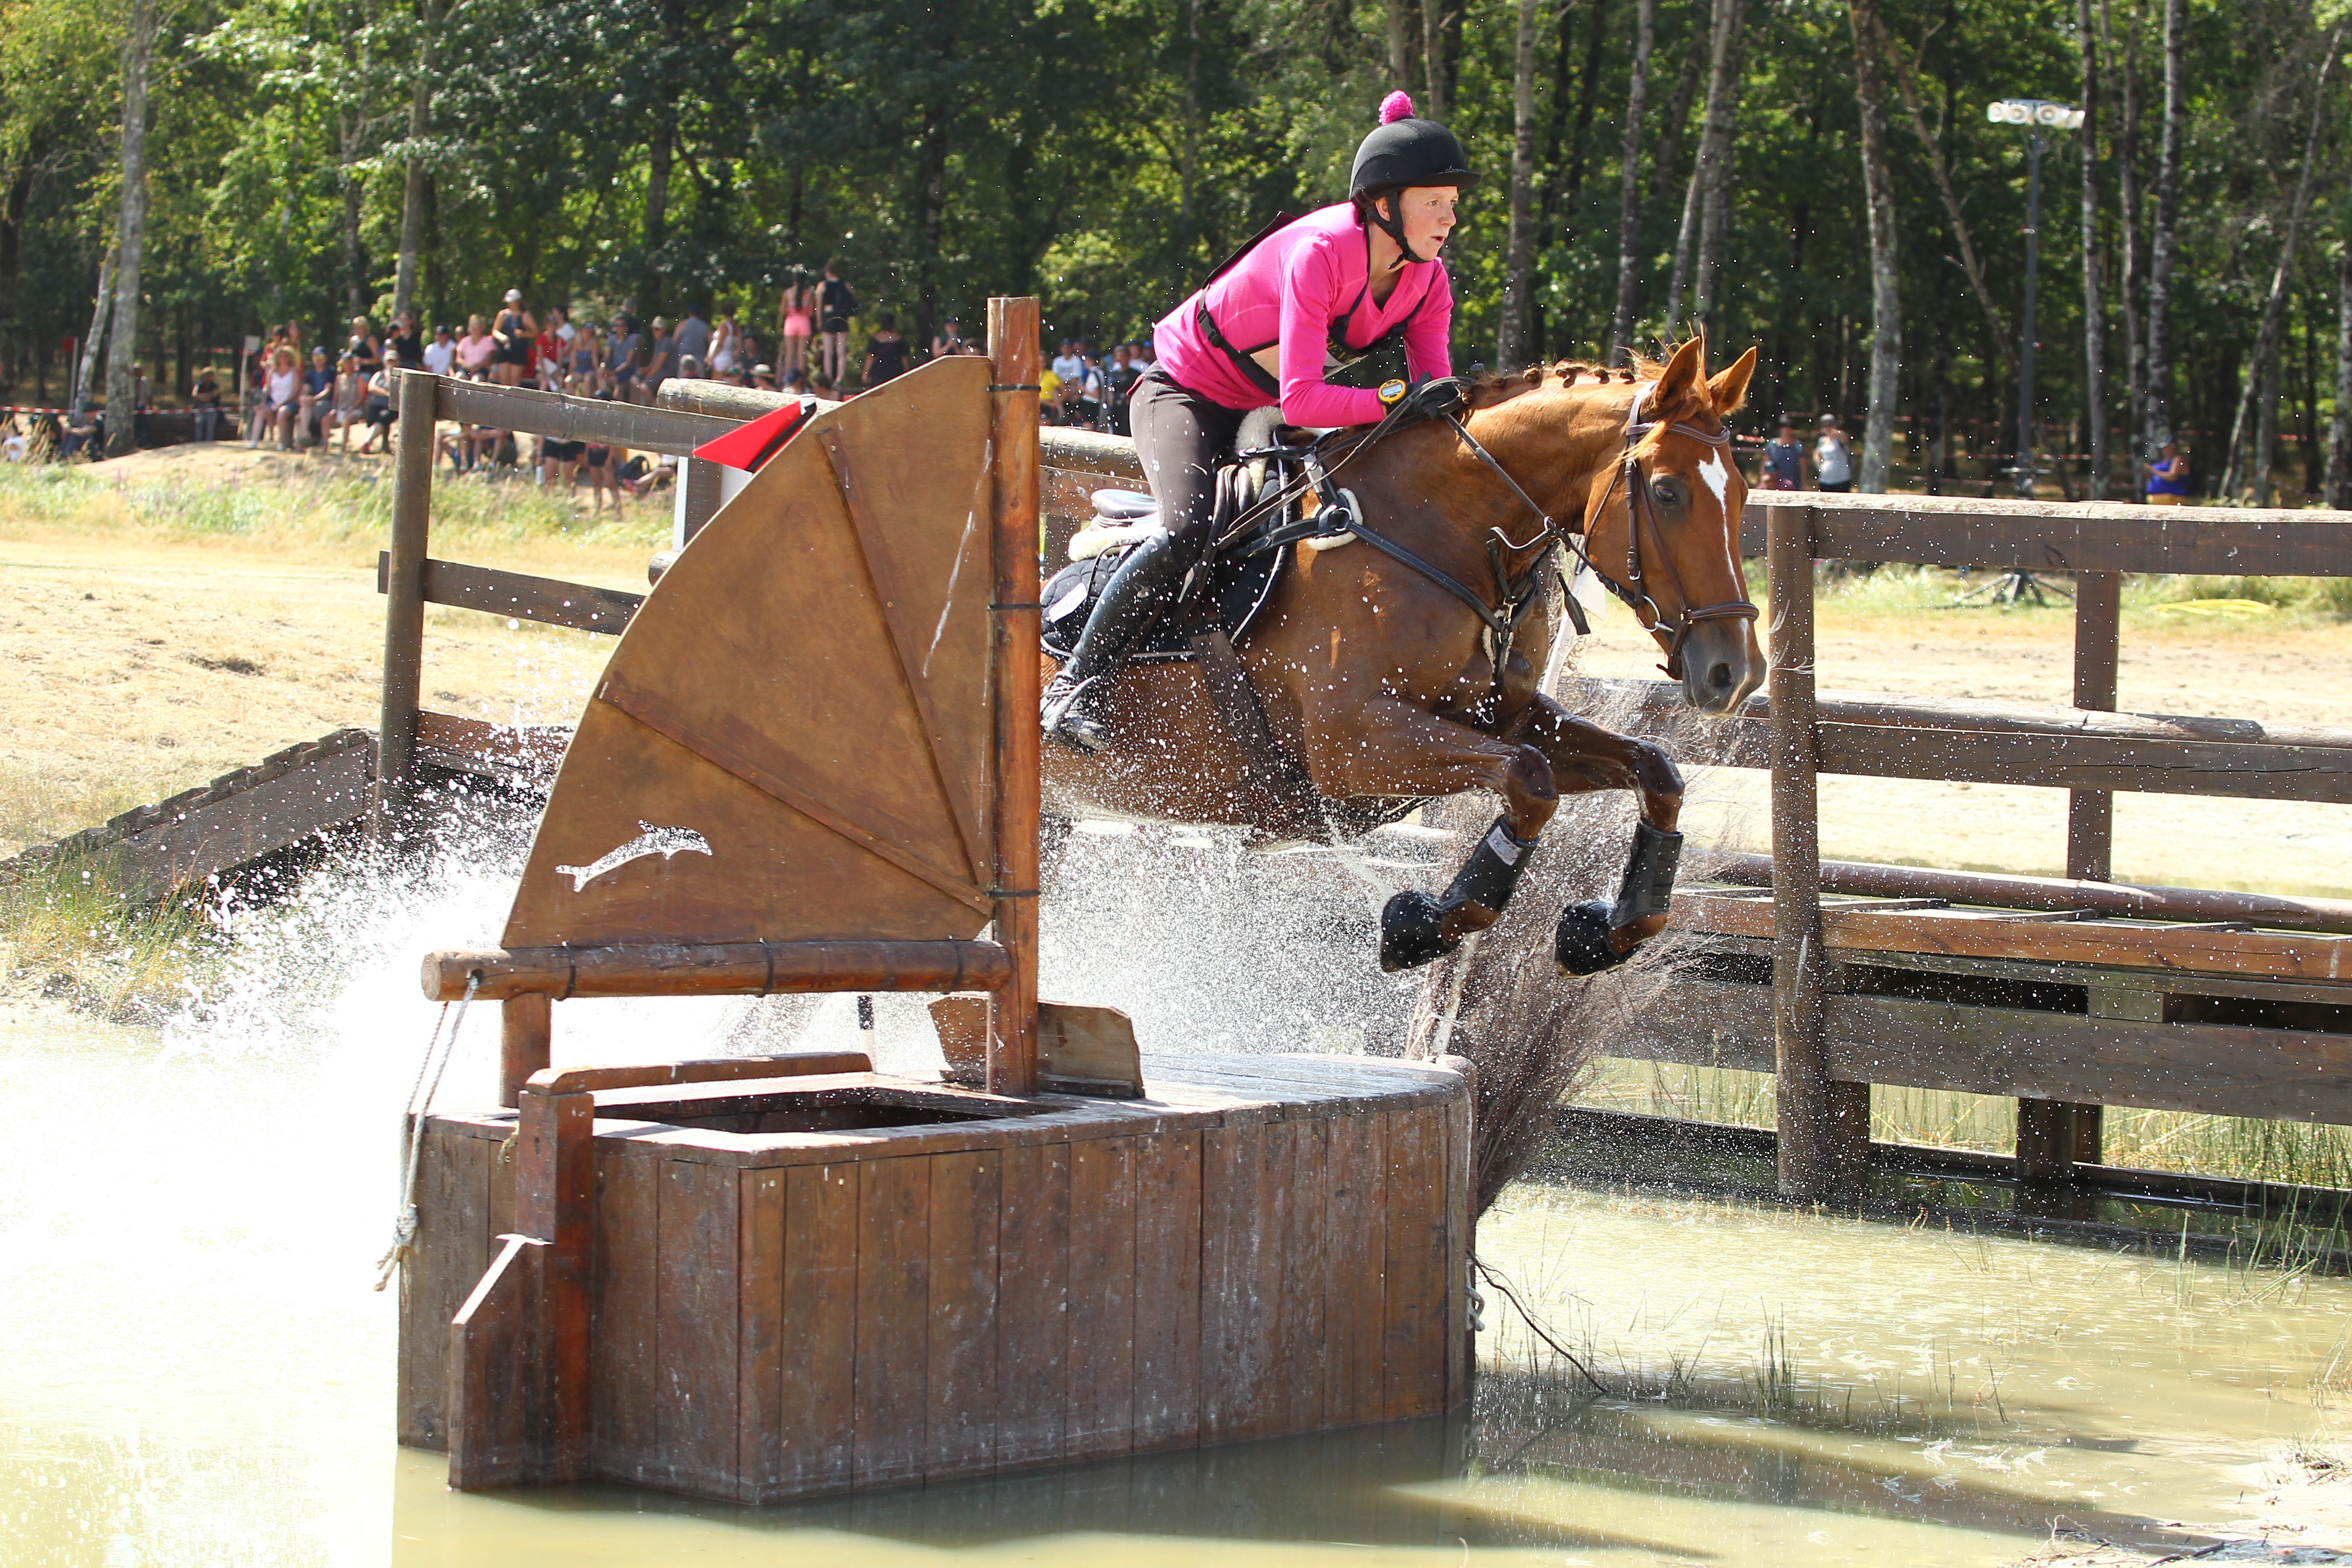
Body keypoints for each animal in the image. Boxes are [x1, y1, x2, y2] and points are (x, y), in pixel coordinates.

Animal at [1040, 333, 1759, 968]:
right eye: (1667, 492)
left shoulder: (1507, 718)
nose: (1733, 675)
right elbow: (1530, 783)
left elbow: (1654, 770)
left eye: (1744, 494)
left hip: (1054, 818)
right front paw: (1424, 927)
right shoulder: (1354, 746)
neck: (1442, 532)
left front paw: (1608, 932)